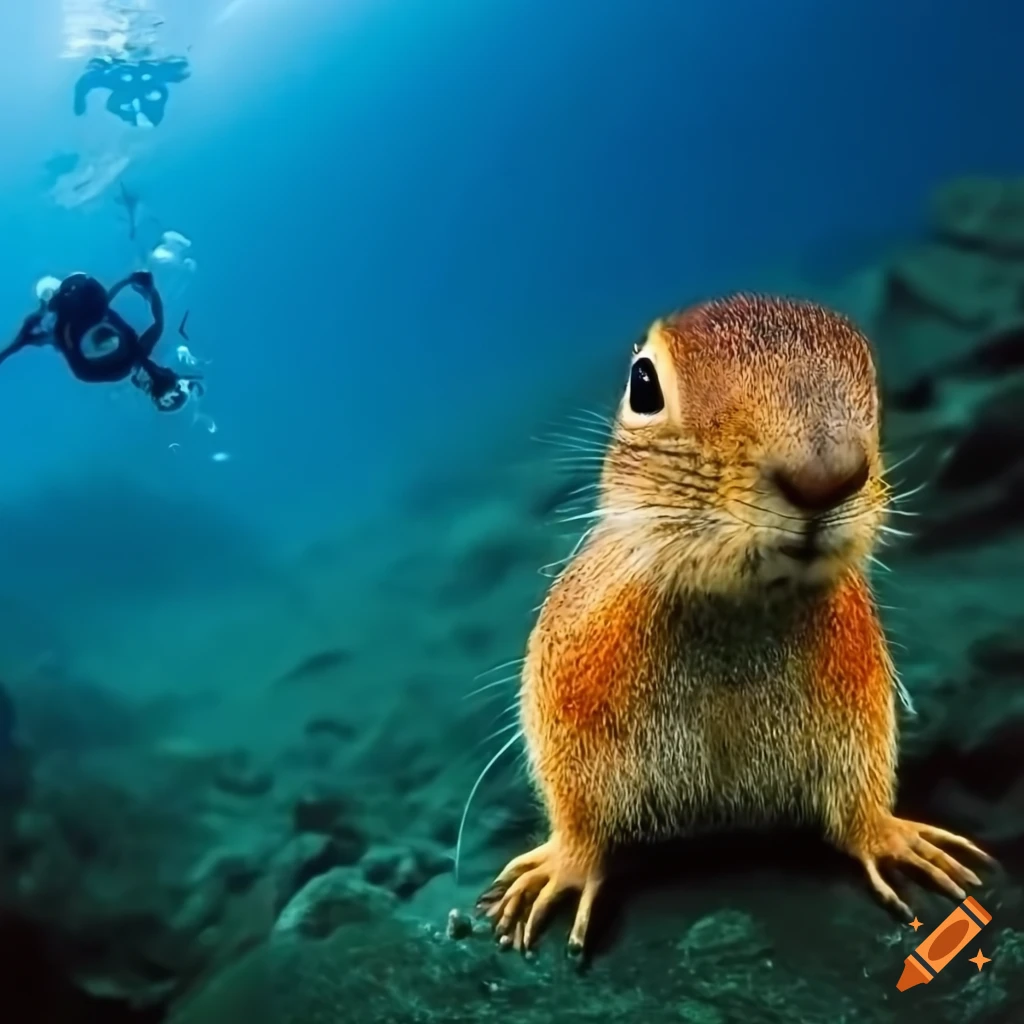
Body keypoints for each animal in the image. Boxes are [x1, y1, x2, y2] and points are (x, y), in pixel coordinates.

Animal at [477, 294, 992, 955]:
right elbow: (578, 820)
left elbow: (859, 804)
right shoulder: (567, 717)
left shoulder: (861, 723)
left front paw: (891, 837)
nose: (826, 474)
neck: (736, 607)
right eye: (643, 384)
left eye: (876, 386)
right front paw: (562, 868)